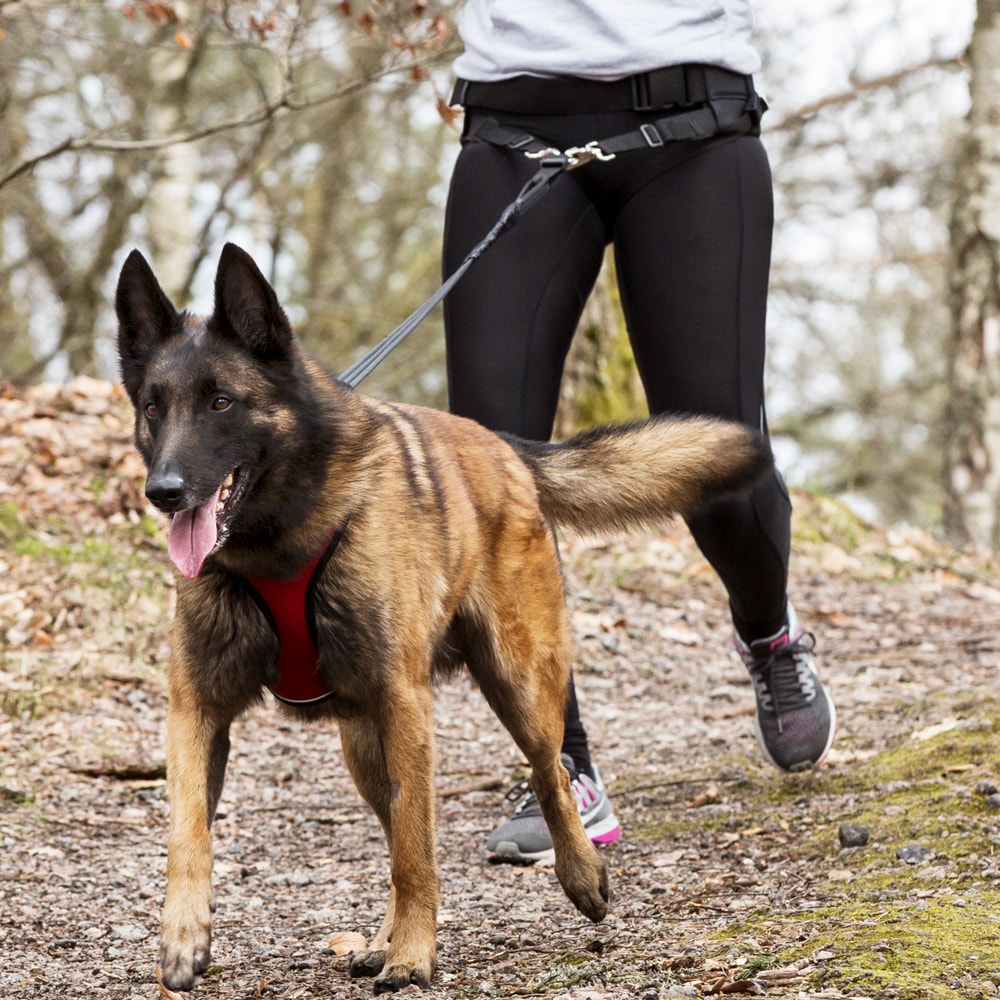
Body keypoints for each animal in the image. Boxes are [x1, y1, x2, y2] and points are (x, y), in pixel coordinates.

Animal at [115, 244, 772, 992]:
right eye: (153, 407)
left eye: (222, 402)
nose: (163, 492)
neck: (276, 542)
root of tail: (505, 449)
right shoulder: (196, 710)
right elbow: (187, 833)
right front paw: (183, 937)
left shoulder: (404, 702)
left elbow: (415, 850)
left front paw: (413, 955)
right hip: (366, 744)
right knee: (399, 821)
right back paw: (380, 937)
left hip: (516, 682)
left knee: (546, 774)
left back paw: (579, 873)